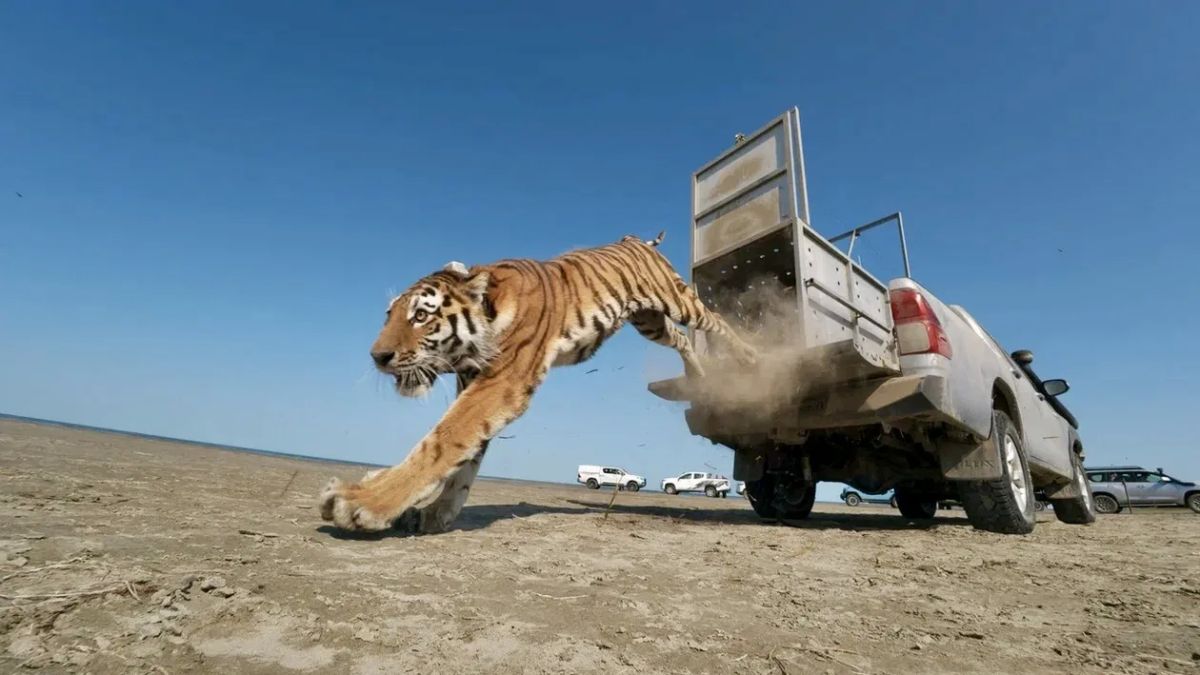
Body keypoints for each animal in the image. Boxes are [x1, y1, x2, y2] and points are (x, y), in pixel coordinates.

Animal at [319, 231, 757, 533]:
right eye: (388, 315)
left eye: (421, 316)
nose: (377, 357)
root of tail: (636, 239)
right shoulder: (474, 383)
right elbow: (465, 458)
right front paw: (436, 514)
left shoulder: (500, 383)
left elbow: (443, 440)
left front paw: (362, 501)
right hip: (649, 321)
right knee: (680, 339)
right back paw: (697, 376)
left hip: (675, 298)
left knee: (713, 320)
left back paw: (750, 357)